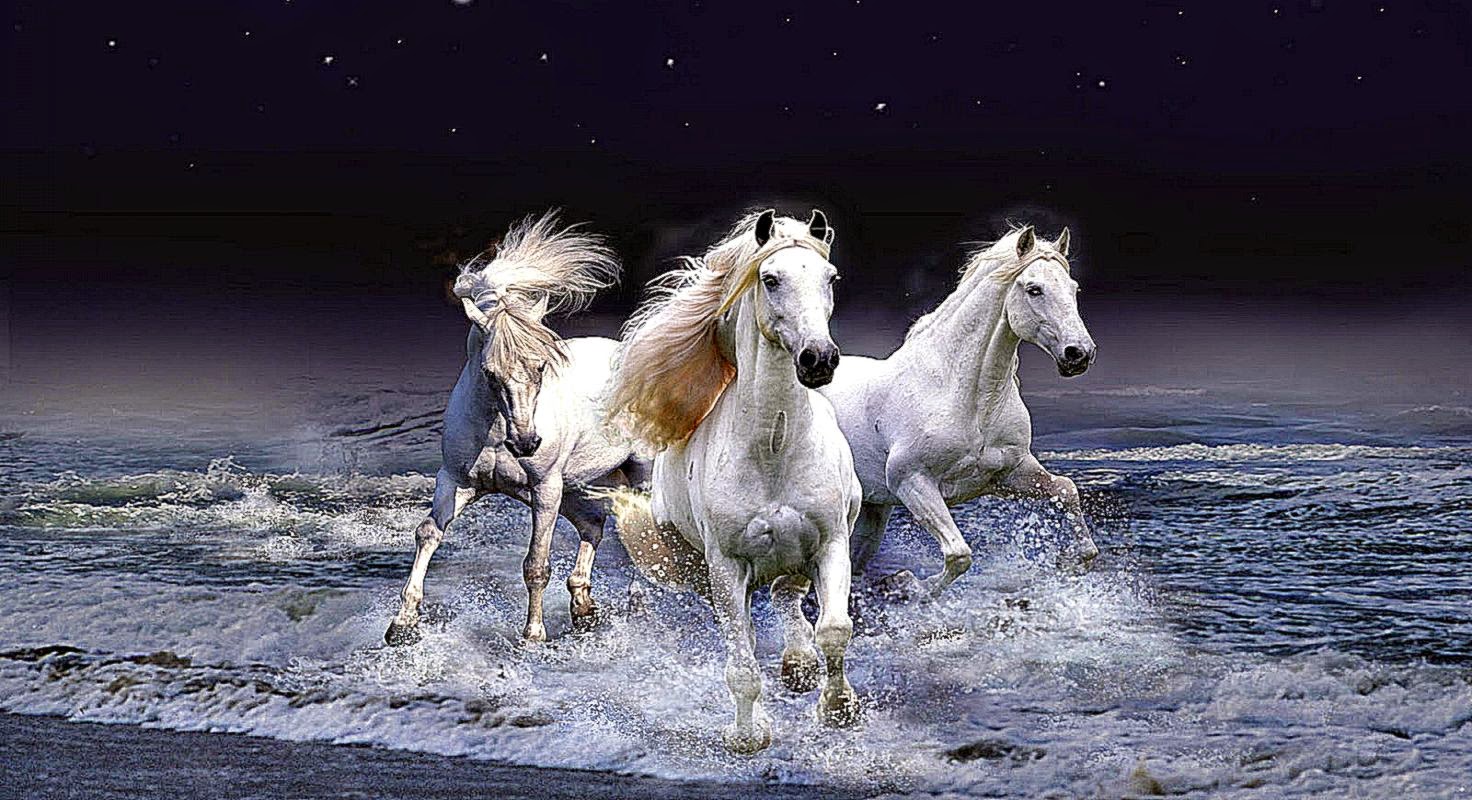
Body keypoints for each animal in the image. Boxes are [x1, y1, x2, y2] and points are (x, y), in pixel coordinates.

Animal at [384, 211, 650, 645]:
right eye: (490, 372)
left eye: (540, 366)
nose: (526, 442)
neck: (495, 433)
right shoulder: (456, 481)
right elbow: (427, 533)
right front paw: (401, 624)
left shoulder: (544, 489)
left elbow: (536, 563)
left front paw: (533, 635)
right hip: (574, 487)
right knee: (594, 525)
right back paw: (584, 609)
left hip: (637, 474)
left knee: (644, 533)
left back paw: (636, 603)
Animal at [602, 209, 863, 754]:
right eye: (771, 279)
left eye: (830, 279)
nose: (819, 359)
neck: (775, 449)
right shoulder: (726, 566)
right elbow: (742, 663)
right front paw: (748, 736)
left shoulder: (830, 543)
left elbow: (833, 629)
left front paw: (838, 709)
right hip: (702, 568)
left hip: (795, 557)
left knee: (787, 597)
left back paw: (799, 665)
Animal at [819, 225, 1099, 597]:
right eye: (1034, 289)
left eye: (1073, 289)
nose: (1079, 353)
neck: (969, 400)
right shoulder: (913, 482)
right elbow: (959, 554)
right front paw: (908, 586)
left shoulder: (1010, 474)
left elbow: (1066, 490)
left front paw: (1072, 561)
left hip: (872, 510)